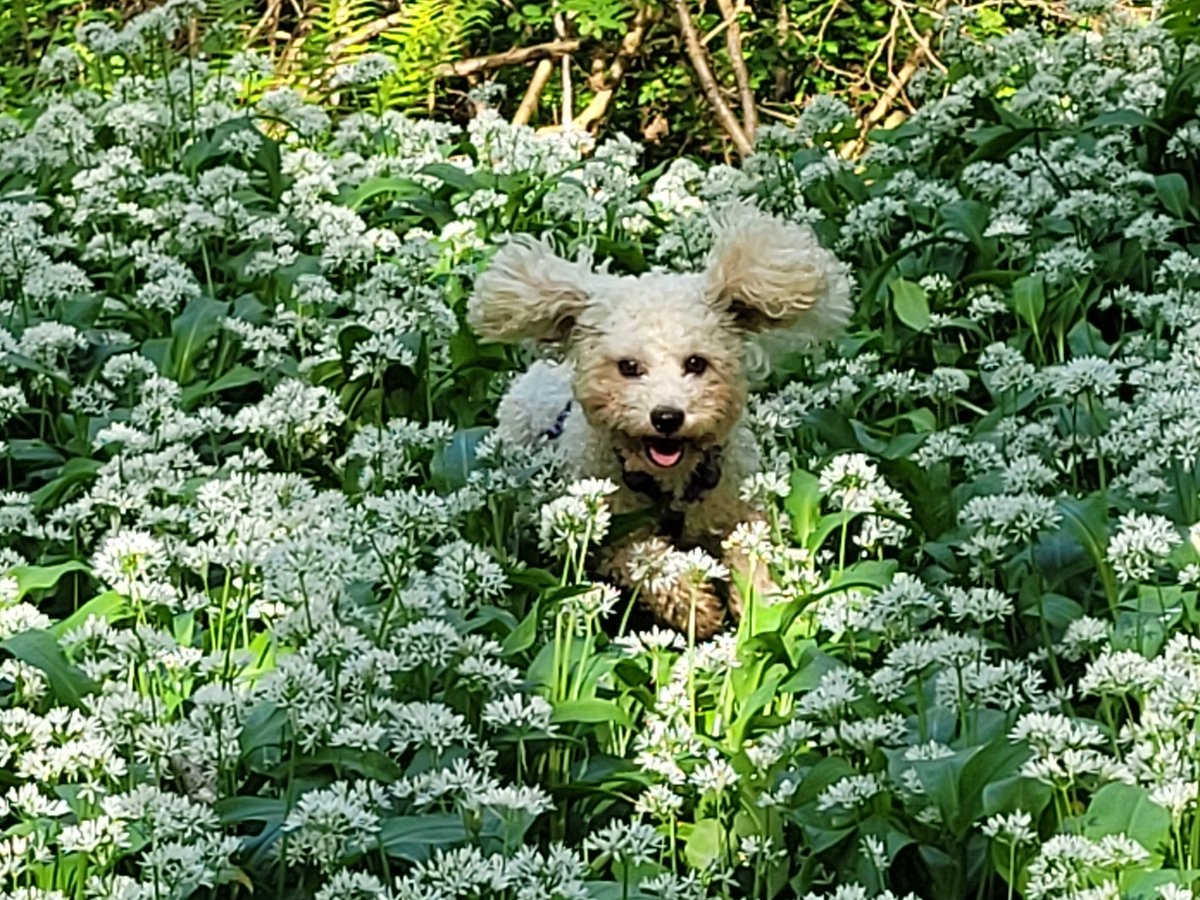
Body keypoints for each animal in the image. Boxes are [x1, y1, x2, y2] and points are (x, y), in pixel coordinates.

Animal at [468, 212, 854, 638]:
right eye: (628, 367)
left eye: (696, 363)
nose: (667, 416)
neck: (672, 482)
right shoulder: (613, 534)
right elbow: (650, 561)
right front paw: (697, 606)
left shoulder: (737, 508)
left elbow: (751, 552)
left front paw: (769, 609)